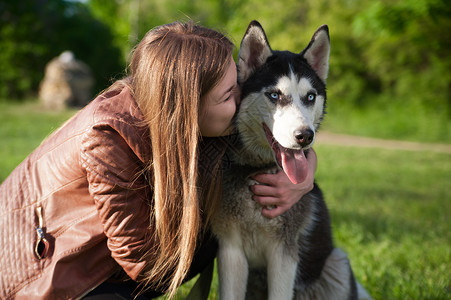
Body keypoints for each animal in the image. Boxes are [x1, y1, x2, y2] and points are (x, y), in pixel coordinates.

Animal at [213, 21, 360, 300]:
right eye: (274, 95)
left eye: (310, 97)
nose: (305, 136)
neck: (256, 171)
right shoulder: (230, 251)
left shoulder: (283, 254)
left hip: (337, 263)